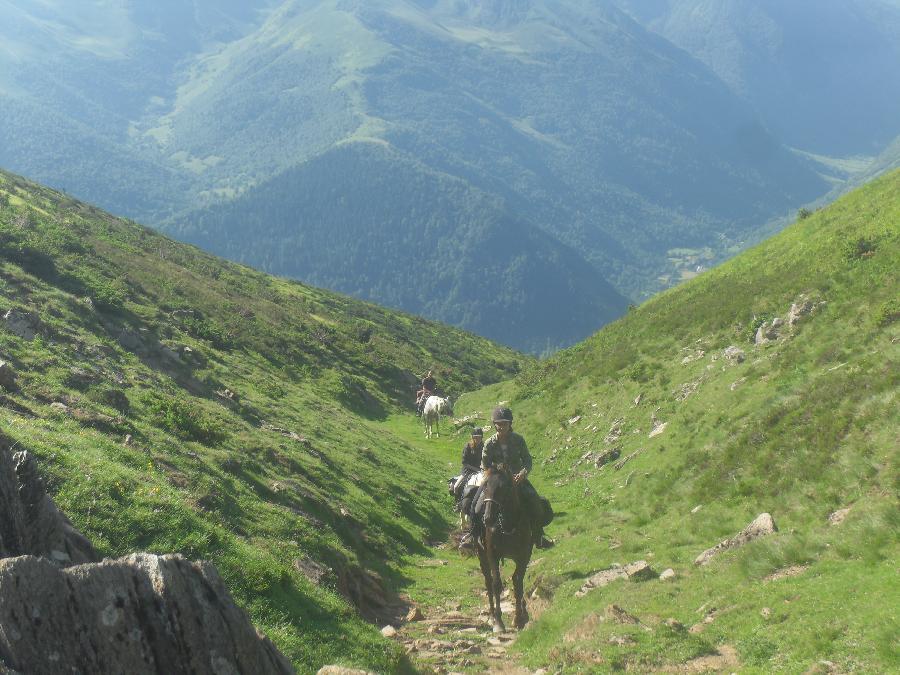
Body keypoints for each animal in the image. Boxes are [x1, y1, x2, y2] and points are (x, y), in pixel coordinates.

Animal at [474, 464, 532, 632]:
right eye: (485, 485)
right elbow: (496, 584)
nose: (487, 518)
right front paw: (499, 622)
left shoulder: (524, 556)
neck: (507, 525)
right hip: (482, 555)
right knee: (488, 582)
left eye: (503, 487)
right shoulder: (492, 554)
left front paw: (519, 618)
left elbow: (518, 583)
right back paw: (492, 615)